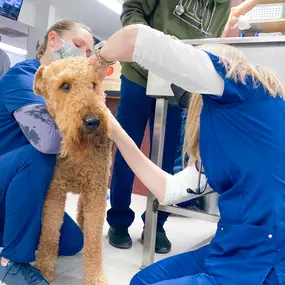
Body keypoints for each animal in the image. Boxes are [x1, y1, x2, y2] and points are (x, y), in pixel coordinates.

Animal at [33, 56, 112, 284]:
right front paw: (43, 270)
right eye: (65, 86)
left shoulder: (95, 191)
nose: (93, 121)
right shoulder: (54, 192)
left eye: (93, 85)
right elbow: (50, 234)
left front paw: (95, 277)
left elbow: (93, 242)